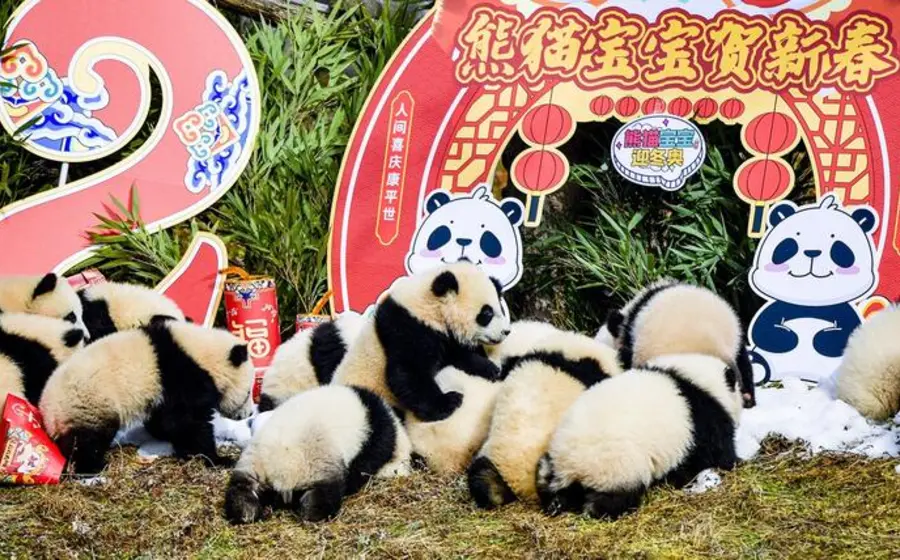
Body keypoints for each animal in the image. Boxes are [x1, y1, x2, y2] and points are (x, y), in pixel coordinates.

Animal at [39, 319, 254, 475]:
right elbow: (187, 421)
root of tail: (47, 412)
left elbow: (168, 420)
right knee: (86, 441)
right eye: (249, 392)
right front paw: (217, 459)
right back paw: (92, 467)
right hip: (88, 404)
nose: (249, 414)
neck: (202, 354)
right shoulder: (181, 375)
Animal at [224, 384, 412, 524]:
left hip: (253, 461)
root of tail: (280, 471)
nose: (401, 471)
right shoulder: (374, 438)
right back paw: (313, 513)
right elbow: (364, 466)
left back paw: (244, 511)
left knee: (242, 486)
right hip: (317, 462)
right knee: (326, 492)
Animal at [331, 262, 510, 422]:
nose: (506, 331)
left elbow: (459, 355)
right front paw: (449, 402)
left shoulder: (442, 335)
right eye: (487, 313)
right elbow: (407, 370)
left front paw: (491, 369)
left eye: (500, 308)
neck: (430, 306)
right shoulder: (406, 327)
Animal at [535, 353, 743, 520]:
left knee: (549, 481)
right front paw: (736, 461)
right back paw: (598, 509)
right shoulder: (702, 422)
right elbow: (715, 454)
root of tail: (570, 465)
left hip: (554, 461)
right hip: (617, 465)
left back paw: (555, 503)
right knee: (614, 495)